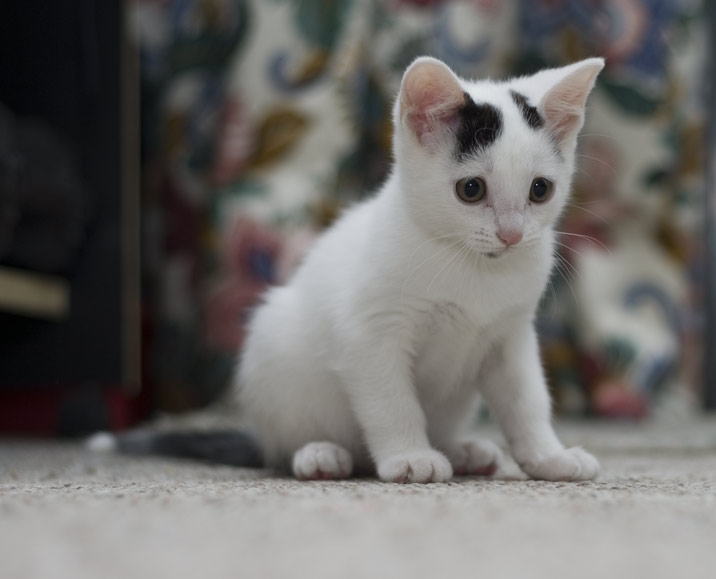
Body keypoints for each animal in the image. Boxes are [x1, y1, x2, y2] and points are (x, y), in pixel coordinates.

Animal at [239, 54, 604, 482]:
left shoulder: (511, 336)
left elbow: (526, 400)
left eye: (540, 189)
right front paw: (411, 457)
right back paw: (318, 454)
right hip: (274, 345)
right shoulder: (371, 332)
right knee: (285, 445)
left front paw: (549, 456)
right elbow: (392, 402)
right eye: (471, 189)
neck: (473, 267)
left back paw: (465, 452)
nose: (512, 235)